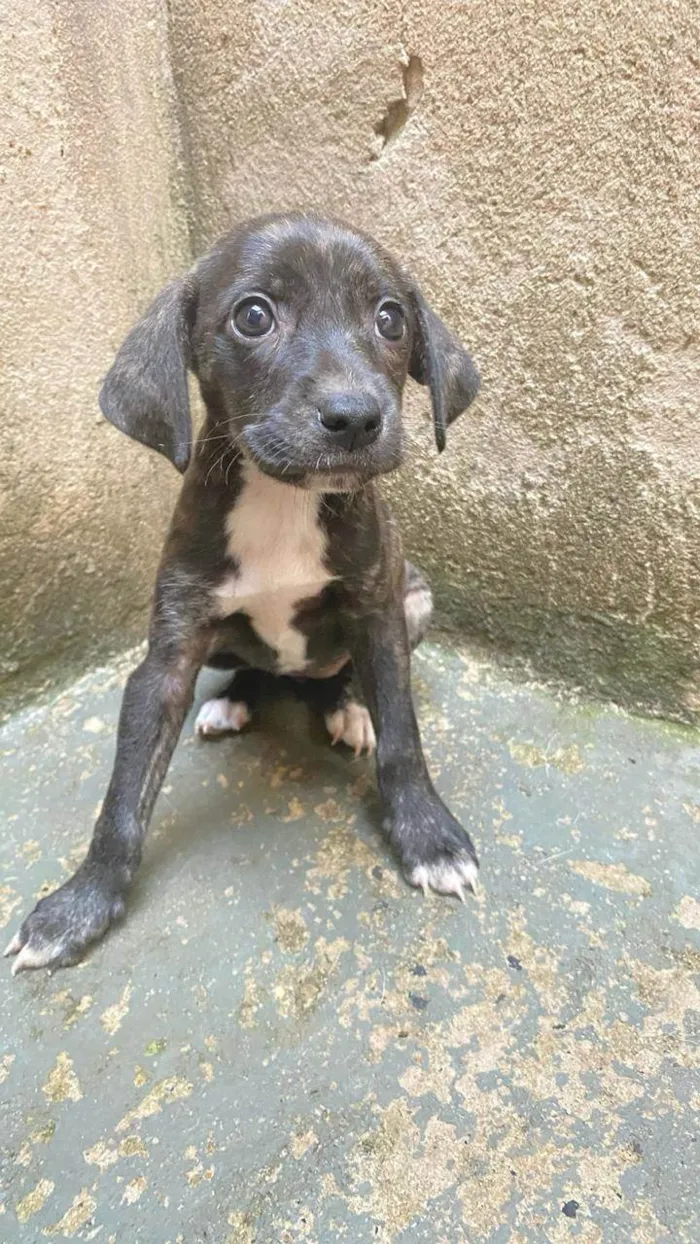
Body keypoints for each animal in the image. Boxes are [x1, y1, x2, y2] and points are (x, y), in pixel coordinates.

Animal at [8, 211, 482, 970]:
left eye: (391, 319)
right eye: (253, 316)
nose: (355, 417)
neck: (283, 497)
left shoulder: (378, 614)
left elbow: (404, 738)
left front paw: (428, 836)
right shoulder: (167, 657)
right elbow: (123, 798)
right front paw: (78, 905)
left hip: (416, 603)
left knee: (341, 677)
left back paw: (347, 708)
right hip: (222, 644)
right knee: (254, 671)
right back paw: (234, 702)